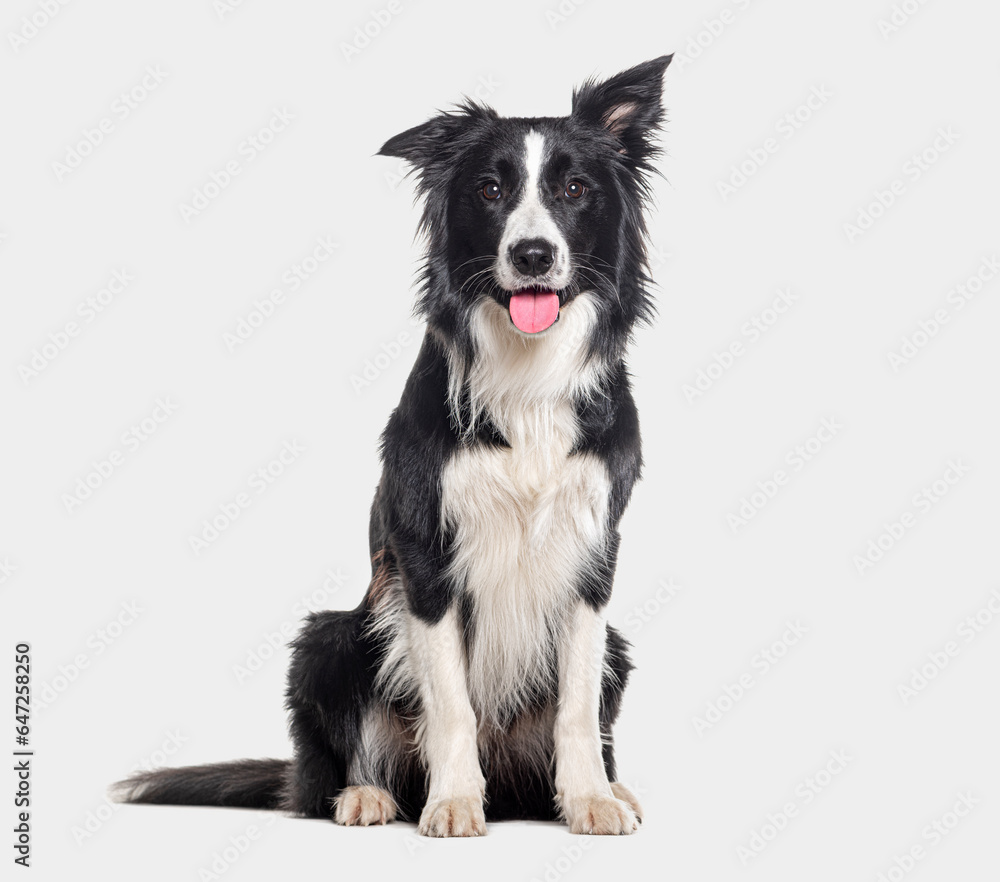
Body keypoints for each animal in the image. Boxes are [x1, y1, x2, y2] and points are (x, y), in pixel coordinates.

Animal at [119, 55, 680, 840]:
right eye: (489, 189)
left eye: (574, 190)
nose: (533, 255)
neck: (527, 380)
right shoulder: (424, 550)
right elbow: (449, 703)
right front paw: (454, 801)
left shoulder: (594, 549)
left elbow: (575, 704)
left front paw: (591, 800)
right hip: (329, 640)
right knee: (329, 768)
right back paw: (367, 796)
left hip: (617, 651)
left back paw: (600, 788)